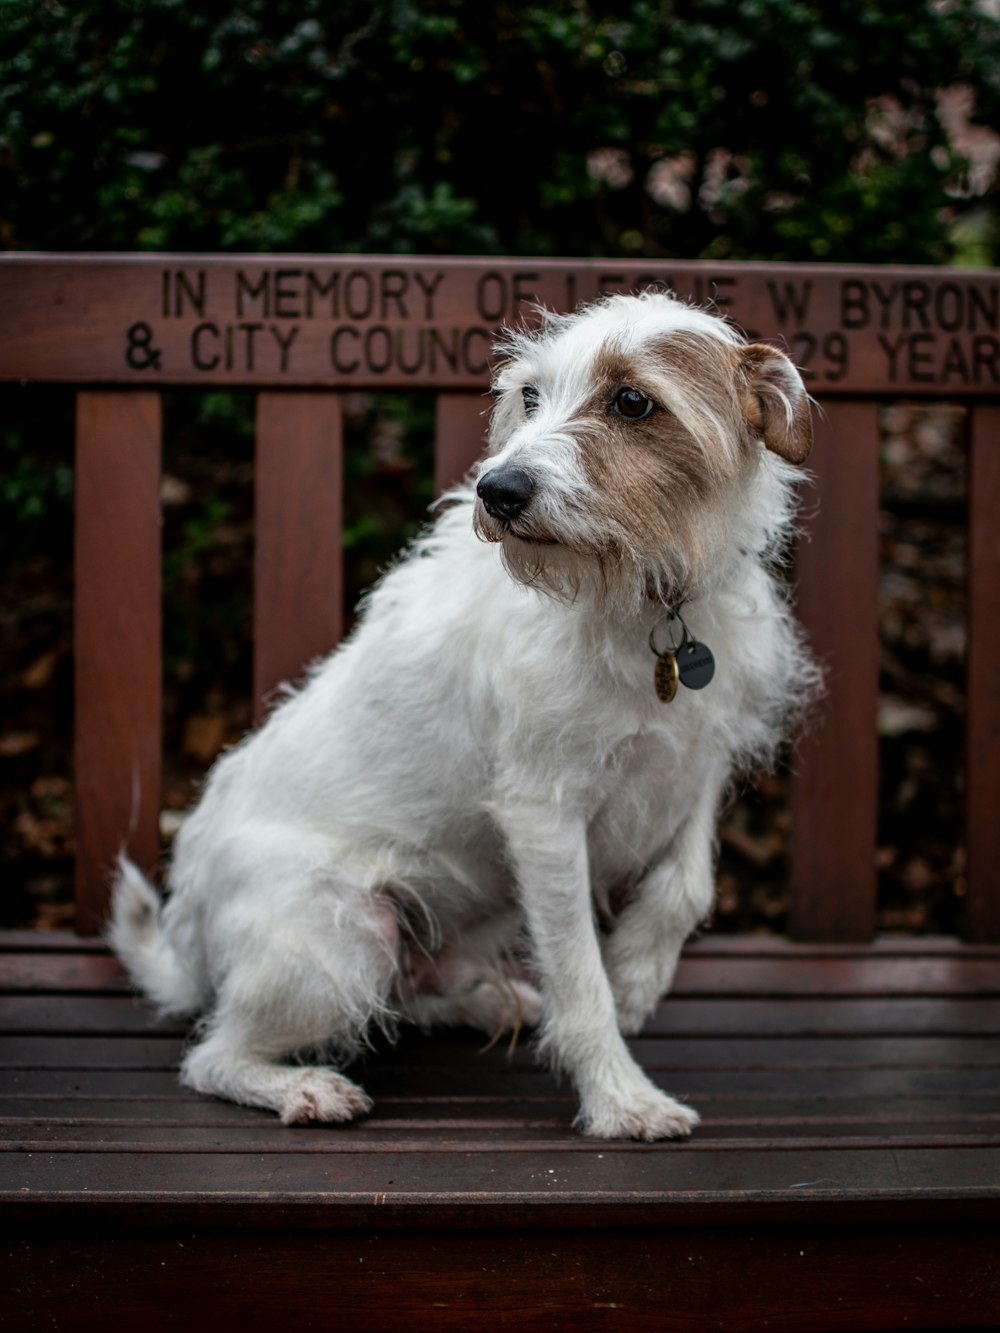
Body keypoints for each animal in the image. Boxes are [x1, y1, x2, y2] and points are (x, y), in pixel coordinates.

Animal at [111, 289, 821, 1135]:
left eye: (632, 401)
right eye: (531, 396)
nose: (498, 490)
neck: (644, 600)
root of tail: (187, 931)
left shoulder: (697, 761)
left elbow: (687, 888)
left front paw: (639, 976)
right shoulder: (544, 815)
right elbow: (580, 979)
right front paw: (621, 1097)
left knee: (407, 995)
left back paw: (495, 1001)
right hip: (340, 938)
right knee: (213, 1055)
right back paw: (304, 1087)